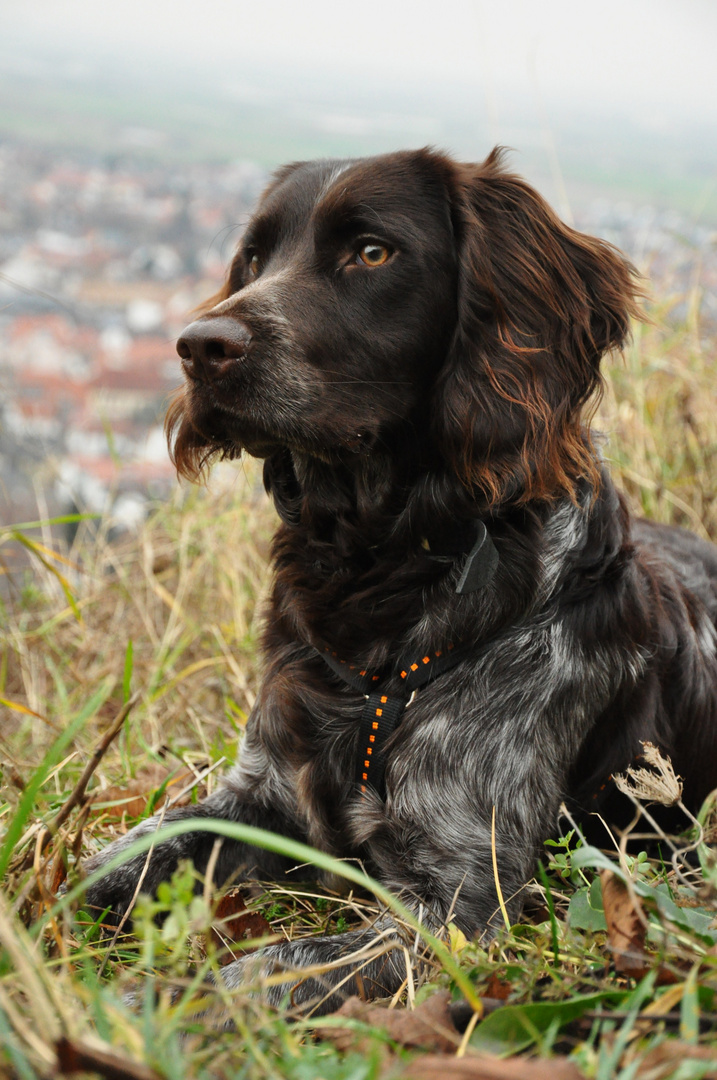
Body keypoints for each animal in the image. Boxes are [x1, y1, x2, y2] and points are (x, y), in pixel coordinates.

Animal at [78, 150, 717, 1010]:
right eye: (254, 256)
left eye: (371, 252)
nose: (198, 345)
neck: (379, 569)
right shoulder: (258, 796)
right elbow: (109, 866)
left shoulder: (455, 904)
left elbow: (259, 972)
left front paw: (146, 1008)